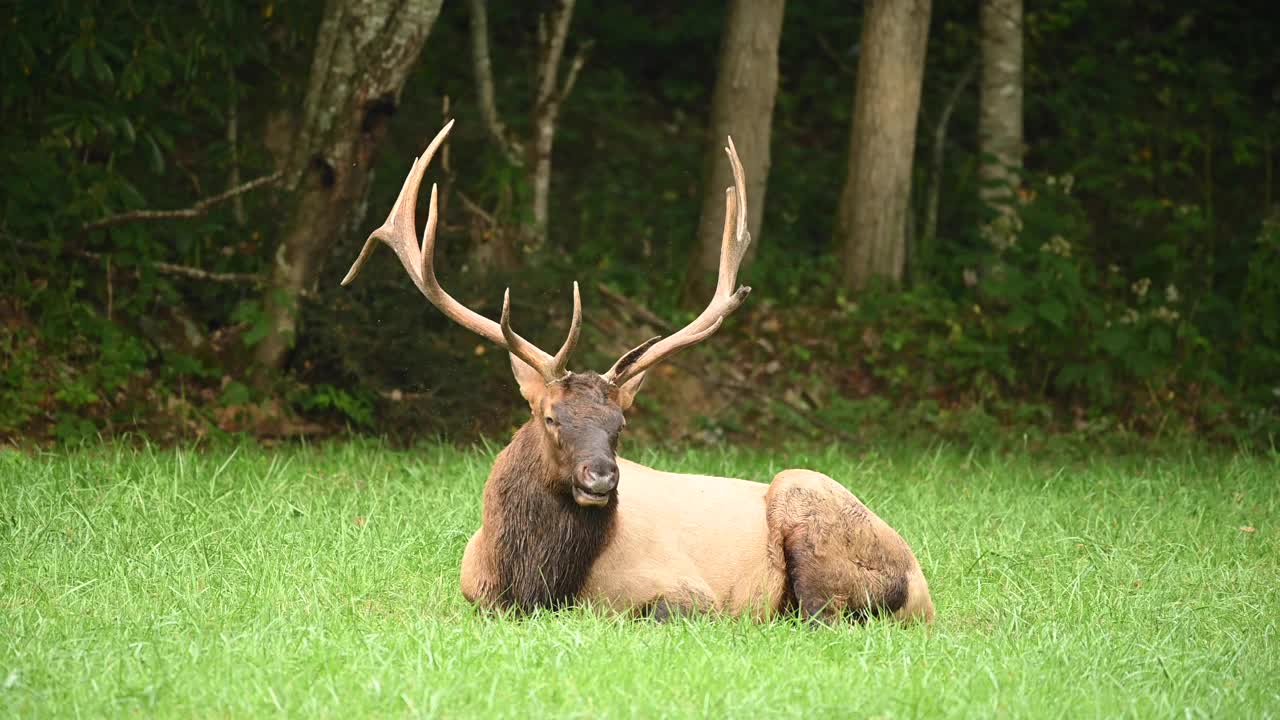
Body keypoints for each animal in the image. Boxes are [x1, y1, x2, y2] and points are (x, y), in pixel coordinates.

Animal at [345, 120, 936, 620]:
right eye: (551, 417)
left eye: (620, 425)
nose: (602, 477)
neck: (530, 586)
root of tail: (923, 593)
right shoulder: (473, 593)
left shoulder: (687, 591)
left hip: (809, 499)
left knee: (819, 613)